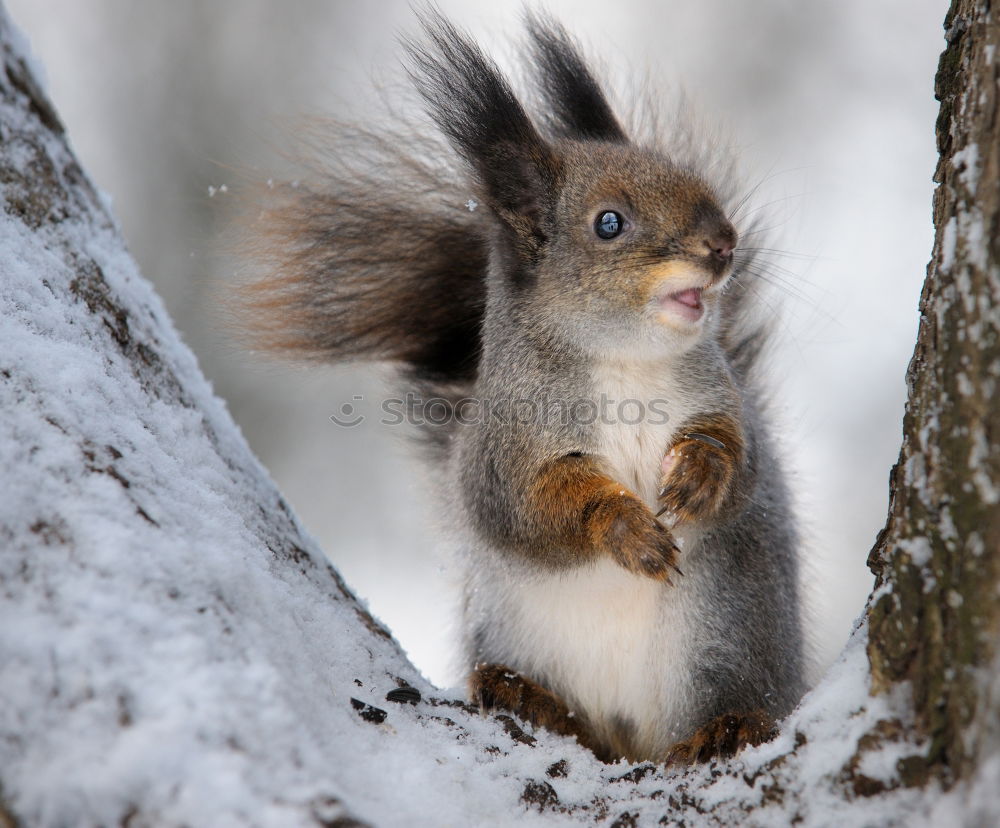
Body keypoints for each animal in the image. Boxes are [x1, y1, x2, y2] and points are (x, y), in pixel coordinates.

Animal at [238, 11, 808, 764]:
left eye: (691, 177)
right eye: (609, 223)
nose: (722, 244)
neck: (624, 362)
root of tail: (633, 741)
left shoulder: (720, 399)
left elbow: (737, 461)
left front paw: (698, 474)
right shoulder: (504, 441)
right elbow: (530, 505)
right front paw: (624, 526)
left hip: (727, 633)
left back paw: (729, 725)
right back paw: (524, 695)